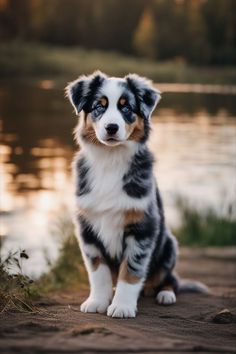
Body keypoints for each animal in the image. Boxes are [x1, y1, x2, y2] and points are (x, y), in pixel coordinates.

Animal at [65, 72, 207, 318]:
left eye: (126, 108)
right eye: (99, 106)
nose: (112, 127)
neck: (110, 160)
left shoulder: (142, 226)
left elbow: (131, 270)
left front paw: (122, 306)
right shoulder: (87, 227)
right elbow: (98, 271)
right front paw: (97, 301)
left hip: (169, 245)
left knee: (171, 279)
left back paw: (165, 294)